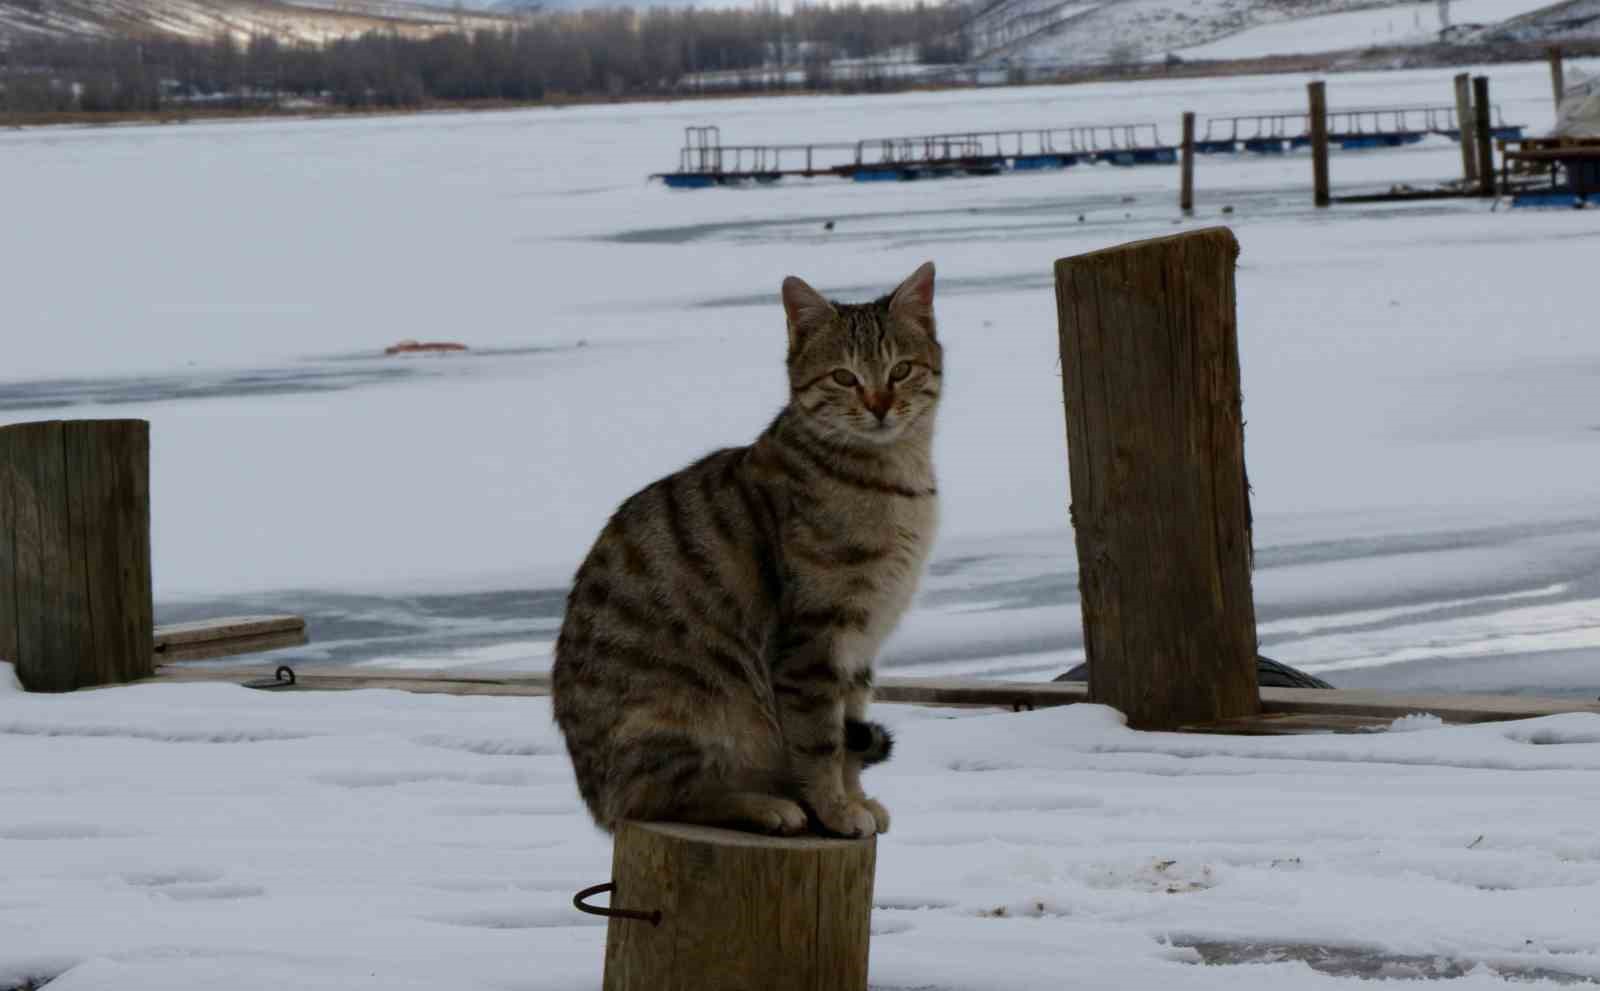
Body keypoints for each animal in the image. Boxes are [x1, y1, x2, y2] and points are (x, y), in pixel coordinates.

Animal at [550, 264, 934, 838]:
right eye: (844, 378)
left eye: (902, 370)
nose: (879, 406)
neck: (893, 478)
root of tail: (596, 801)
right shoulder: (814, 643)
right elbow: (822, 744)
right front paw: (836, 809)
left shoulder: (861, 646)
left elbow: (849, 737)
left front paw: (856, 800)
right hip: (685, 717)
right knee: (658, 800)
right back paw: (767, 806)